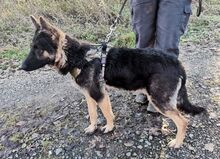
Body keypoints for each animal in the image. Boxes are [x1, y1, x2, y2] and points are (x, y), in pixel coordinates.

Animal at [20, 16, 206, 148]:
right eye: (31, 47)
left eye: (37, 49)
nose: (21, 67)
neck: (79, 58)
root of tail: (177, 63)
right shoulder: (90, 96)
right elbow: (94, 114)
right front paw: (92, 127)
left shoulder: (99, 95)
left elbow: (107, 114)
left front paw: (109, 128)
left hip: (159, 100)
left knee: (183, 121)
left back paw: (177, 142)